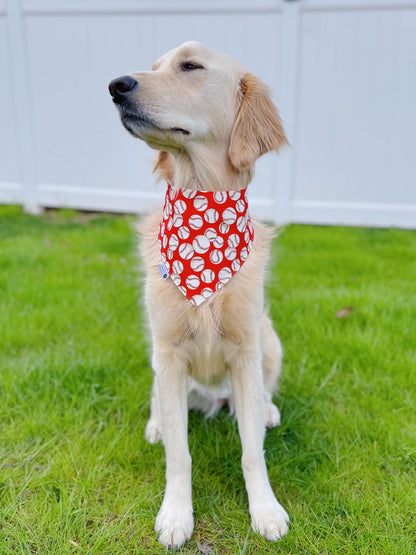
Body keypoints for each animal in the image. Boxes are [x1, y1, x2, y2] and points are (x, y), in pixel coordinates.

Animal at [107, 41, 290, 548]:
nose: (115, 86)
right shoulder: (168, 353)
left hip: (270, 340)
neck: (202, 209)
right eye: (154, 68)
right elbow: (179, 454)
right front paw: (175, 515)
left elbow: (252, 451)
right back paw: (155, 425)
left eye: (190, 66)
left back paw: (268, 411)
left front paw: (265, 511)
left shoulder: (246, 351)